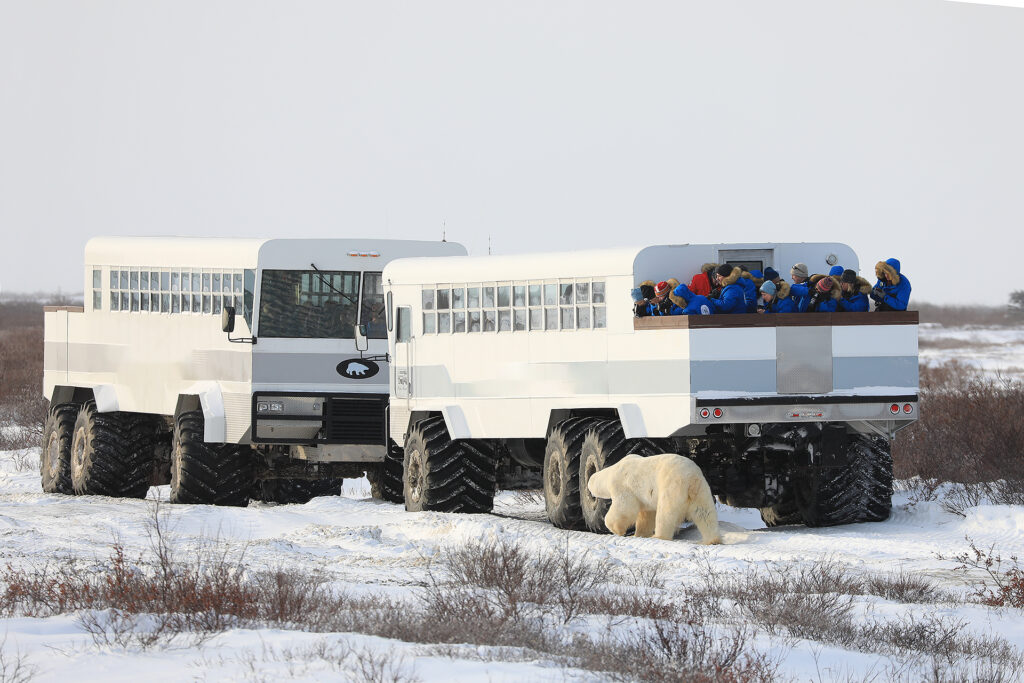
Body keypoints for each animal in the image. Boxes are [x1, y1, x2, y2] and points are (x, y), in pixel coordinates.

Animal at [587, 453, 721, 544]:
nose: (590, 493)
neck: (612, 472)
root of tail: (691, 478)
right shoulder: (644, 499)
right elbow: (646, 515)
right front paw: (639, 534)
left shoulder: (622, 486)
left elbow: (625, 508)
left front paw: (617, 530)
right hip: (700, 490)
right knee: (704, 513)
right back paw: (712, 539)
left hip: (671, 484)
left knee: (665, 513)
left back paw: (658, 536)